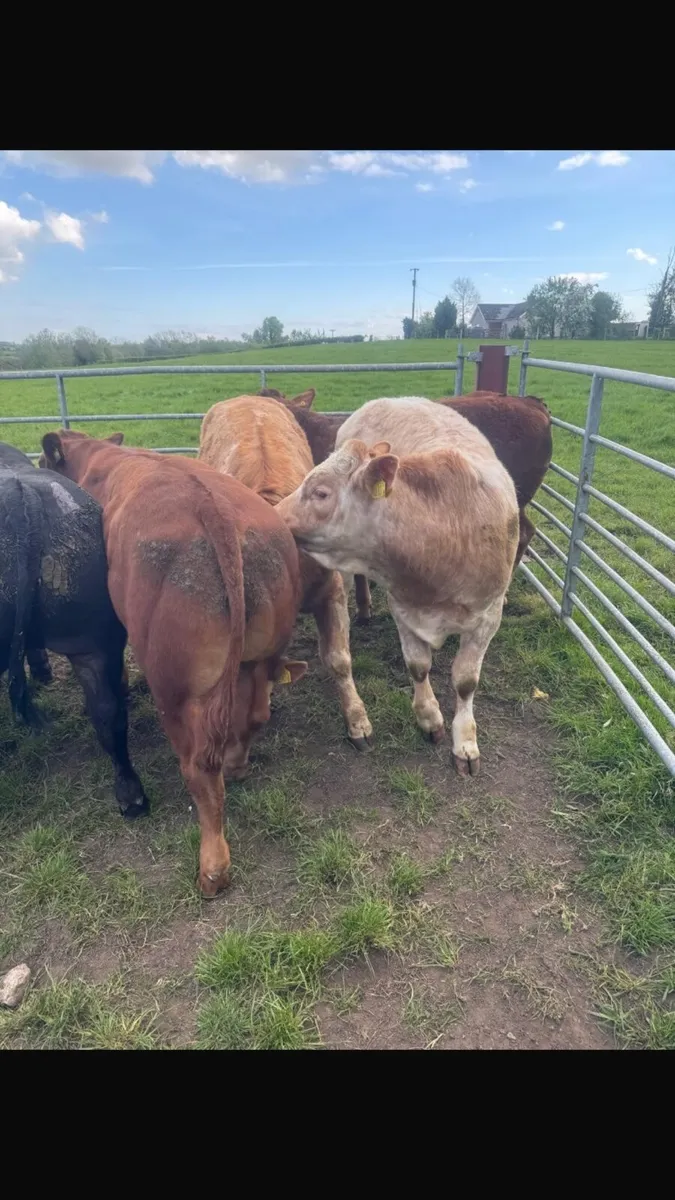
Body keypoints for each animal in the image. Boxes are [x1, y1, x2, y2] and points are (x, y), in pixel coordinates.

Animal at [39, 429, 307, 896]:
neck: (96, 457)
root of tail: (217, 513)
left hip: (172, 685)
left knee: (199, 767)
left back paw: (212, 869)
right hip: (262, 657)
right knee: (253, 714)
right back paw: (237, 764)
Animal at [276, 396, 519, 777]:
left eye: (321, 492)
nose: (272, 512)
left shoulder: (488, 616)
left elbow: (466, 681)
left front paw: (465, 742)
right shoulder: (403, 608)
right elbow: (418, 666)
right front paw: (429, 718)